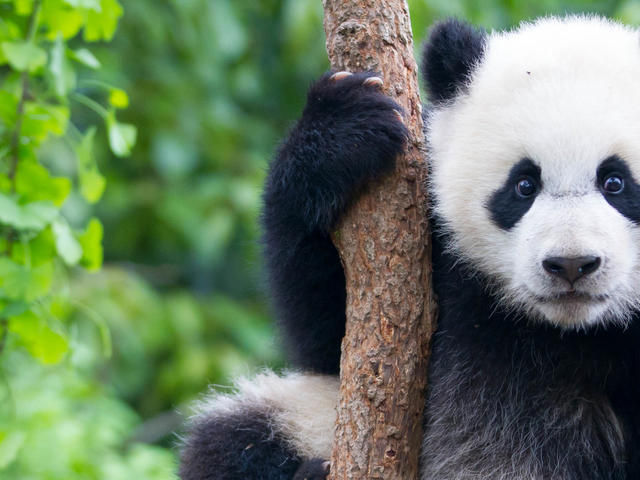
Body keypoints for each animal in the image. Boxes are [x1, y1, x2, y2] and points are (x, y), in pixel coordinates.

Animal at [179, 15, 640, 480]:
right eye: (524, 185)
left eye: (616, 183)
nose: (571, 265)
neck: (564, 331)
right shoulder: (436, 245)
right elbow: (324, 333)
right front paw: (343, 129)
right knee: (231, 439)